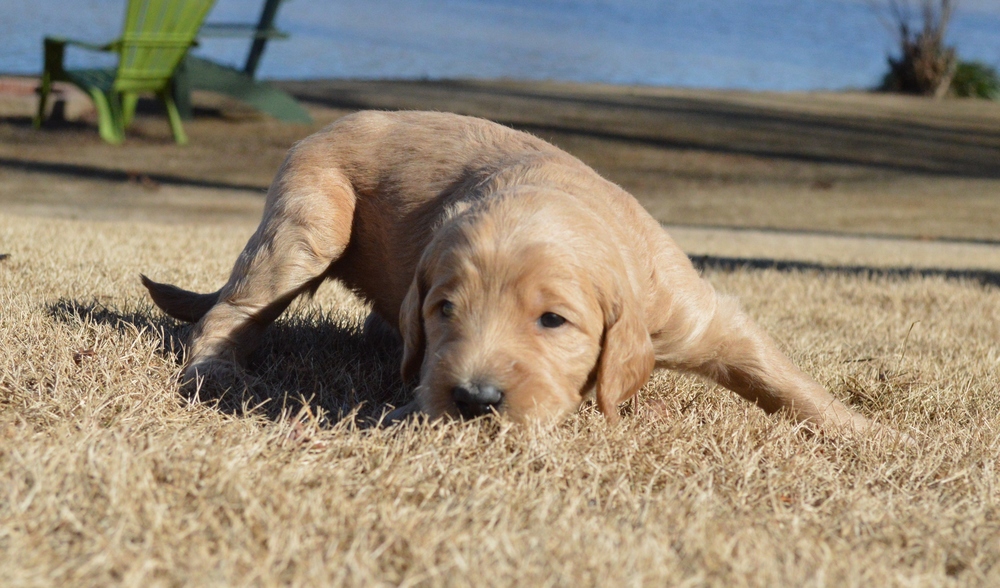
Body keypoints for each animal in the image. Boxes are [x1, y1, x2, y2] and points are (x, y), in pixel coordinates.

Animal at [143, 109, 876, 432]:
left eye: (553, 321)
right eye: (446, 311)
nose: (473, 400)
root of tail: (319, 127)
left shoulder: (692, 313)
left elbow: (774, 373)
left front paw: (862, 432)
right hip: (309, 222)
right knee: (230, 310)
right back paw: (216, 372)